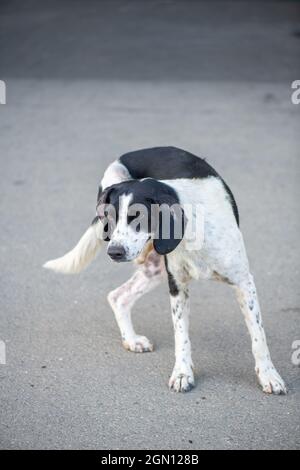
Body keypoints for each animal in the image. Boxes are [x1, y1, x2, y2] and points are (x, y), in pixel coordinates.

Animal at [44, 146, 286, 392]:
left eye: (138, 216)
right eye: (109, 217)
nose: (114, 252)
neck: (193, 230)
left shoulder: (244, 283)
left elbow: (258, 337)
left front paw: (269, 375)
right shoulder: (177, 285)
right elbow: (181, 336)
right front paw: (182, 373)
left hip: (156, 270)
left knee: (118, 296)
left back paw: (131, 339)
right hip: (156, 265)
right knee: (117, 296)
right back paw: (132, 339)